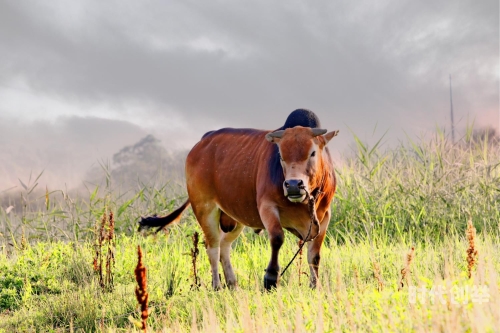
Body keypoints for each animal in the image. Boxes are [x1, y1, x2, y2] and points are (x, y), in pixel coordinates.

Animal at [139, 110, 338, 290]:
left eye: (313, 153)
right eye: (281, 155)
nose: (294, 185)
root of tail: (203, 141)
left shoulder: (324, 216)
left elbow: (314, 255)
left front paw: (315, 285)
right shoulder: (267, 207)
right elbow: (277, 238)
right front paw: (270, 278)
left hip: (235, 218)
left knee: (224, 246)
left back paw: (232, 284)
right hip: (205, 209)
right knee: (213, 247)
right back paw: (217, 286)